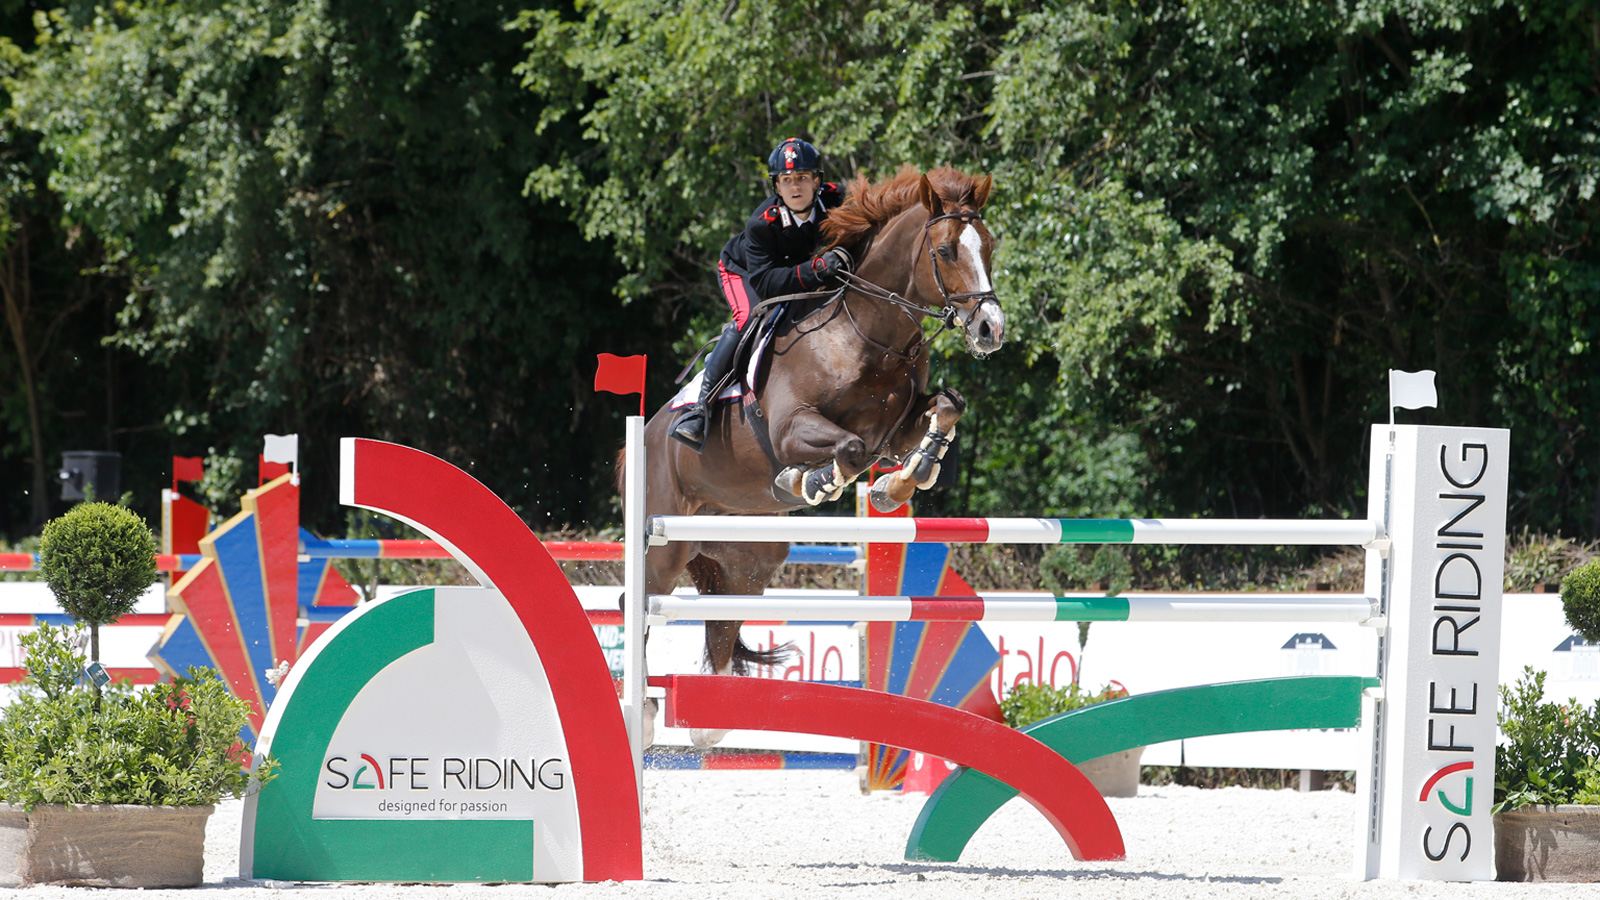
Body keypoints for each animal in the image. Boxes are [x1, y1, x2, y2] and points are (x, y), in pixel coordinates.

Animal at [633, 164, 998, 746]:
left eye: (988, 245)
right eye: (944, 251)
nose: (991, 329)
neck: (870, 333)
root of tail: (644, 436)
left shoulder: (894, 432)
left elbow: (947, 406)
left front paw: (896, 485)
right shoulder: (790, 430)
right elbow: (847, 449)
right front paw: (807, 482)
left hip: (747, 562)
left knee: (723, 618)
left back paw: (709, 724)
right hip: (664, 544)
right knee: (641, 604)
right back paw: (645, 715)